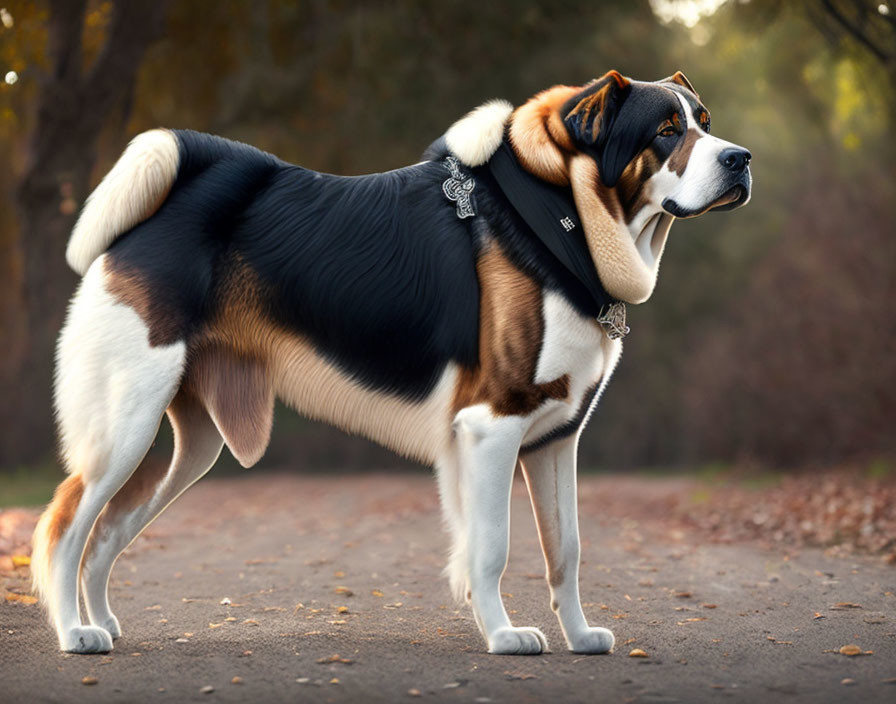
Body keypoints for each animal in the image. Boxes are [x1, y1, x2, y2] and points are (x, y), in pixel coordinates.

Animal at [33, 70, 748, 656]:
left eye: (706, 121)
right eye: (666, 132)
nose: (740, 160)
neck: (562, 214)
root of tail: (171, 202)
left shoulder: (554, 440)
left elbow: (563, 551)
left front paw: (577, 635)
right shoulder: (493, 426)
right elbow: (492, 547)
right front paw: (505, 636)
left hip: (184, 447)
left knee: (106, 532)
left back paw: (100, 620)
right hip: (124, 428)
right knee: (66, 524)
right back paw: (74, 633)